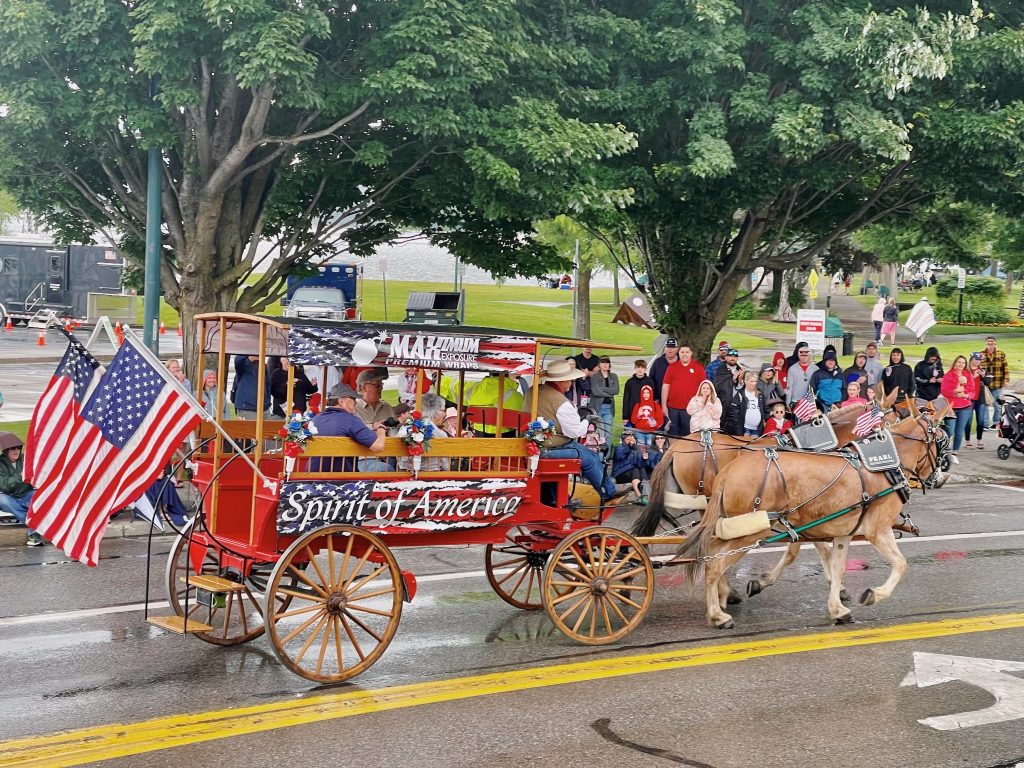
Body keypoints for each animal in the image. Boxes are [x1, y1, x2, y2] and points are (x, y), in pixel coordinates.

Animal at [675, 409, 946, 626]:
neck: (883, 469)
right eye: (941, 441)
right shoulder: (878, 531)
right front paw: (872, 595)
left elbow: (836, 566)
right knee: (713, 565)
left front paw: (837, 608)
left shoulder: (842, 532)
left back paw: (722, 599)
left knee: (710, 555)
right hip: (751, 531)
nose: (939, 479)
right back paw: (718, 615)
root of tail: (728, 474)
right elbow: (901, 564)